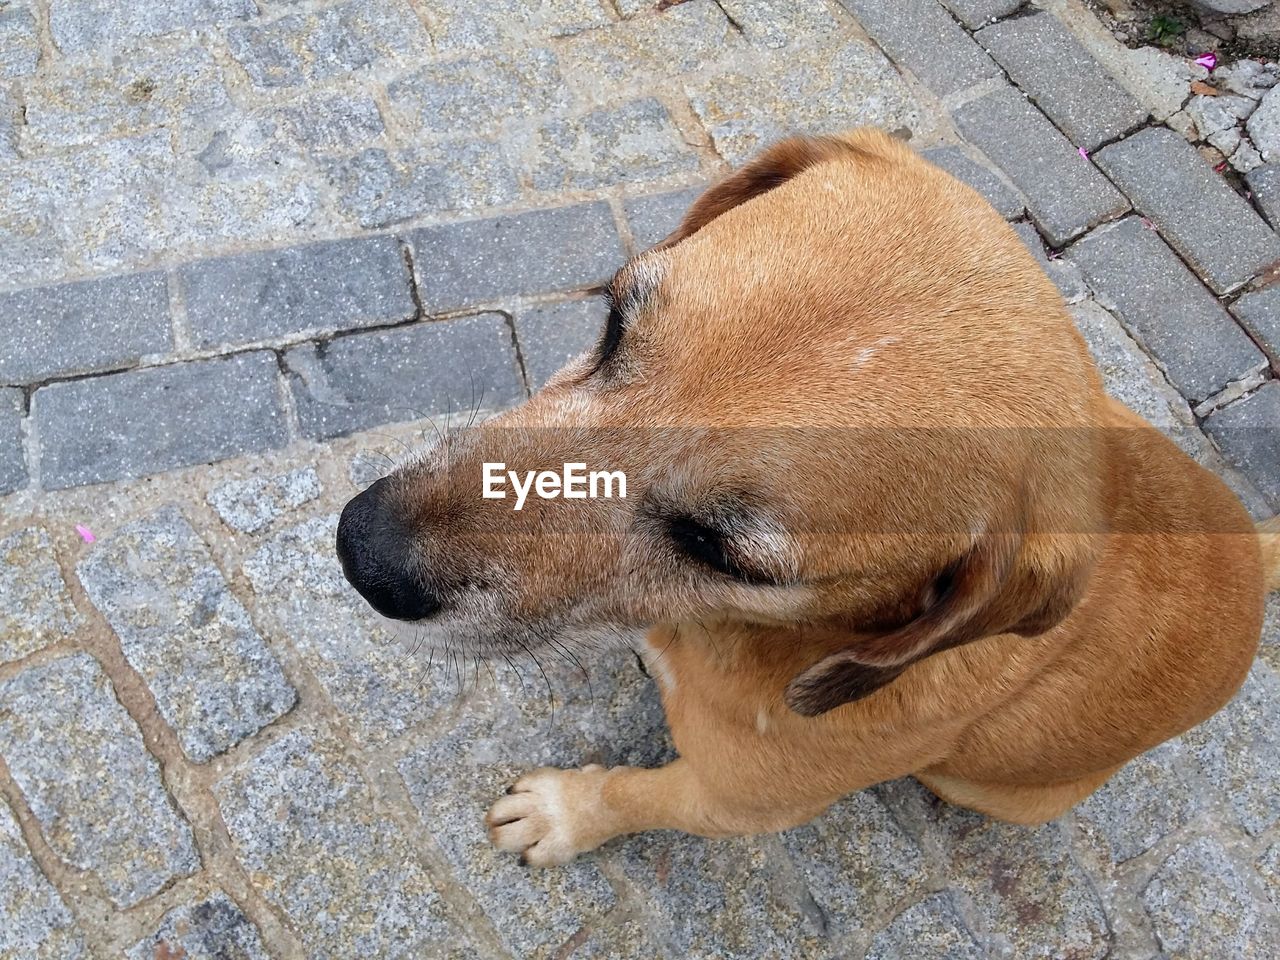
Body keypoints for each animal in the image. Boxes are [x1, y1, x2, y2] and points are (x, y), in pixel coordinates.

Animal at [335, 129, 1274, 870]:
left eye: (718, 548)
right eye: (613, 322)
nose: (362, 552)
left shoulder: (734, 803)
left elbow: (632, 797)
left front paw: (564, 815)